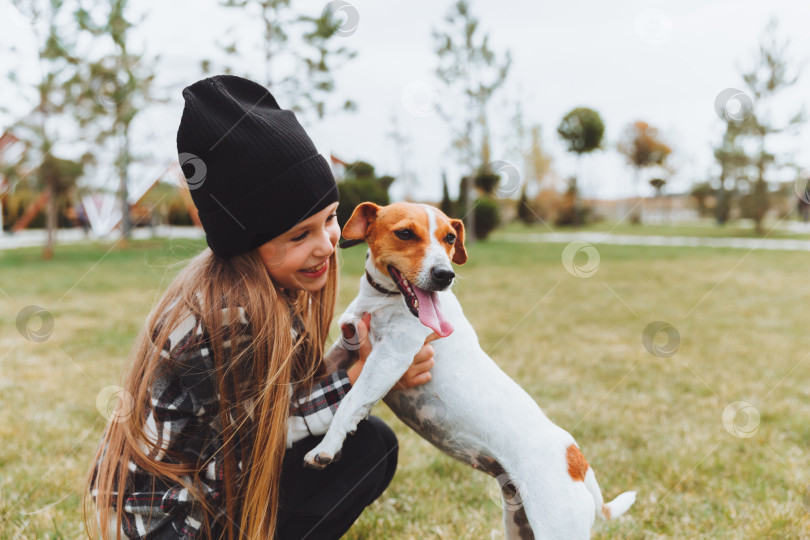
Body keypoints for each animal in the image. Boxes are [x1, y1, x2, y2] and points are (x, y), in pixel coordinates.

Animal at [302, 200, 632, 536]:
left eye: (450, 238)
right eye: (405, 233)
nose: (445, 275)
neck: (382, 300)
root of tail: (577, 461)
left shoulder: (390, 356)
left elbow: (351, 400)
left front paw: (325, 448)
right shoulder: (344, 350)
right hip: (519, 524)